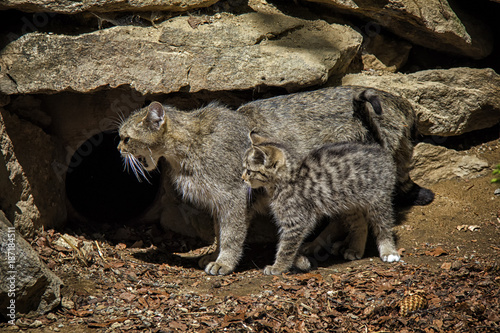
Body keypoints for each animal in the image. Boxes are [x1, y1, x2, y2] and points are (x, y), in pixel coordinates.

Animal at [240, 131, 400, 274]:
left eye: (249, 171)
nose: (242, 178)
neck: (288, 179)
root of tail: (380, 149)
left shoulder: (296, 221)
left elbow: (286, 247)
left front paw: (278, 267)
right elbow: (291, 245)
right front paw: (300, 261)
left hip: (378, 199)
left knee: (383, 225)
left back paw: (388, 250)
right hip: (349, 204)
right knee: (360, 224)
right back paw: (356, 249)